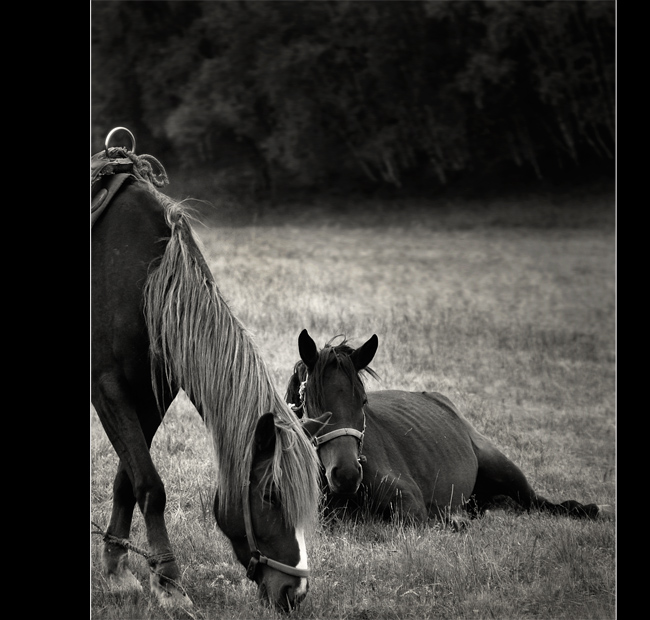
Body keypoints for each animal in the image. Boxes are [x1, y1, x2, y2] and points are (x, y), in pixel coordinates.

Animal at [284, 330, 608, 524]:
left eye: (363, 402)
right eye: (312, 403)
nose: (347, 475)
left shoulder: (410, 502)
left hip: (504, 469)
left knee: (538, 503)